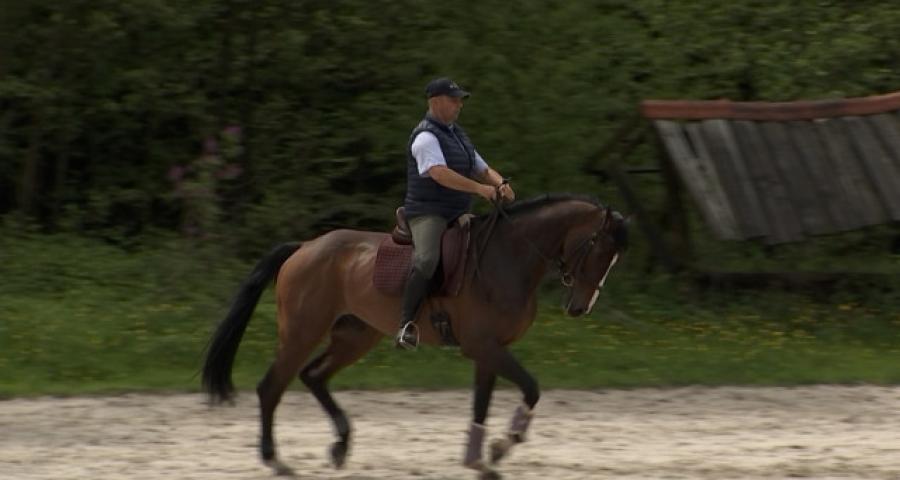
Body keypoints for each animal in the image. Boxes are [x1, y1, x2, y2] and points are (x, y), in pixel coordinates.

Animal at [202, 193, 627, 479]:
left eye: (613, 259)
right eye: (598, 249)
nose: (580, 307)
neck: (508, 258)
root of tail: (304, 247)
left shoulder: (489, 350)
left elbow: (481, 404)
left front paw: (480, 459)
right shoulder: (485, 347)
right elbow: (531, 388)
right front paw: (501, 446)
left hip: (355, 336)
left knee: (314, 376)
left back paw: (340, 445)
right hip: (302, 332)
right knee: (271, 387)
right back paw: (275, 459)